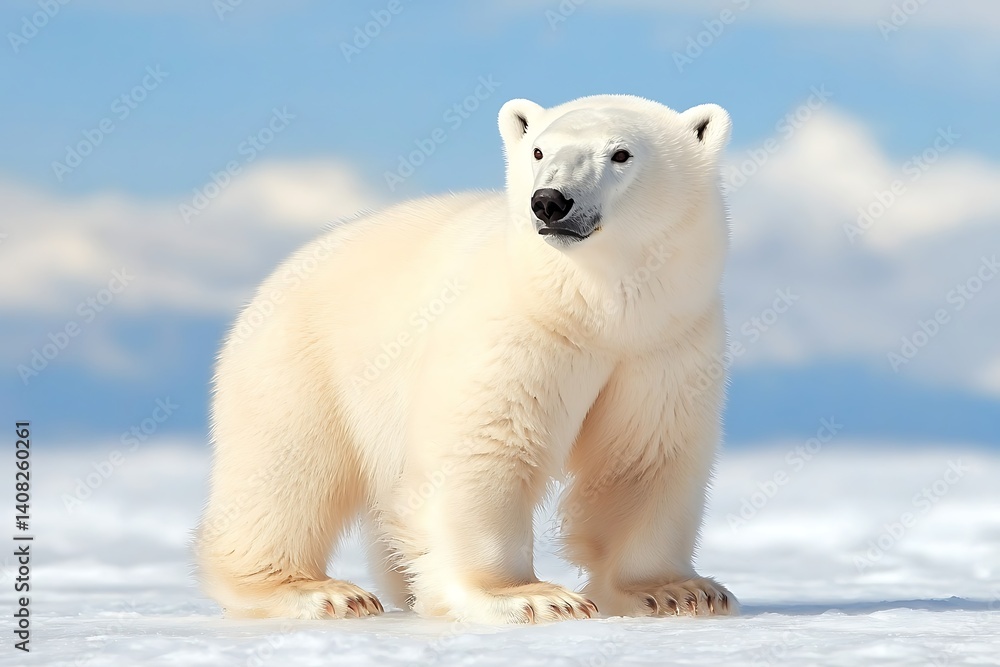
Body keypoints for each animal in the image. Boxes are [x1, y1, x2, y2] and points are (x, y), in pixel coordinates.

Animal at [196, 94, 737, 624]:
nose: (550, 202)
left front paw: (675, 592)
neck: (593, 309)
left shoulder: (665, 346)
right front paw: (530, 598)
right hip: (302, 365)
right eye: (539, 151)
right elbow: (487, 443)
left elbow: (644, 456)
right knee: (287, 472)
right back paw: (319, 591)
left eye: (621, 154)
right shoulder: (517, 328)